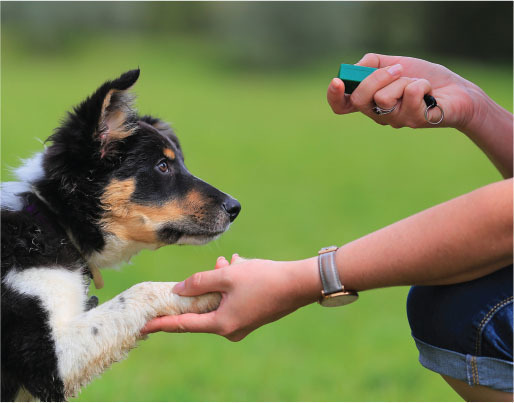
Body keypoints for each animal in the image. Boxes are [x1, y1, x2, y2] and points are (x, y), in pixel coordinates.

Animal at [0, 69, 240, 400]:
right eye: (162, 166)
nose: (235, 208)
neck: (53, 221)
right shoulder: (48, 360)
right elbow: (140, 291)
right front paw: (208, 290)